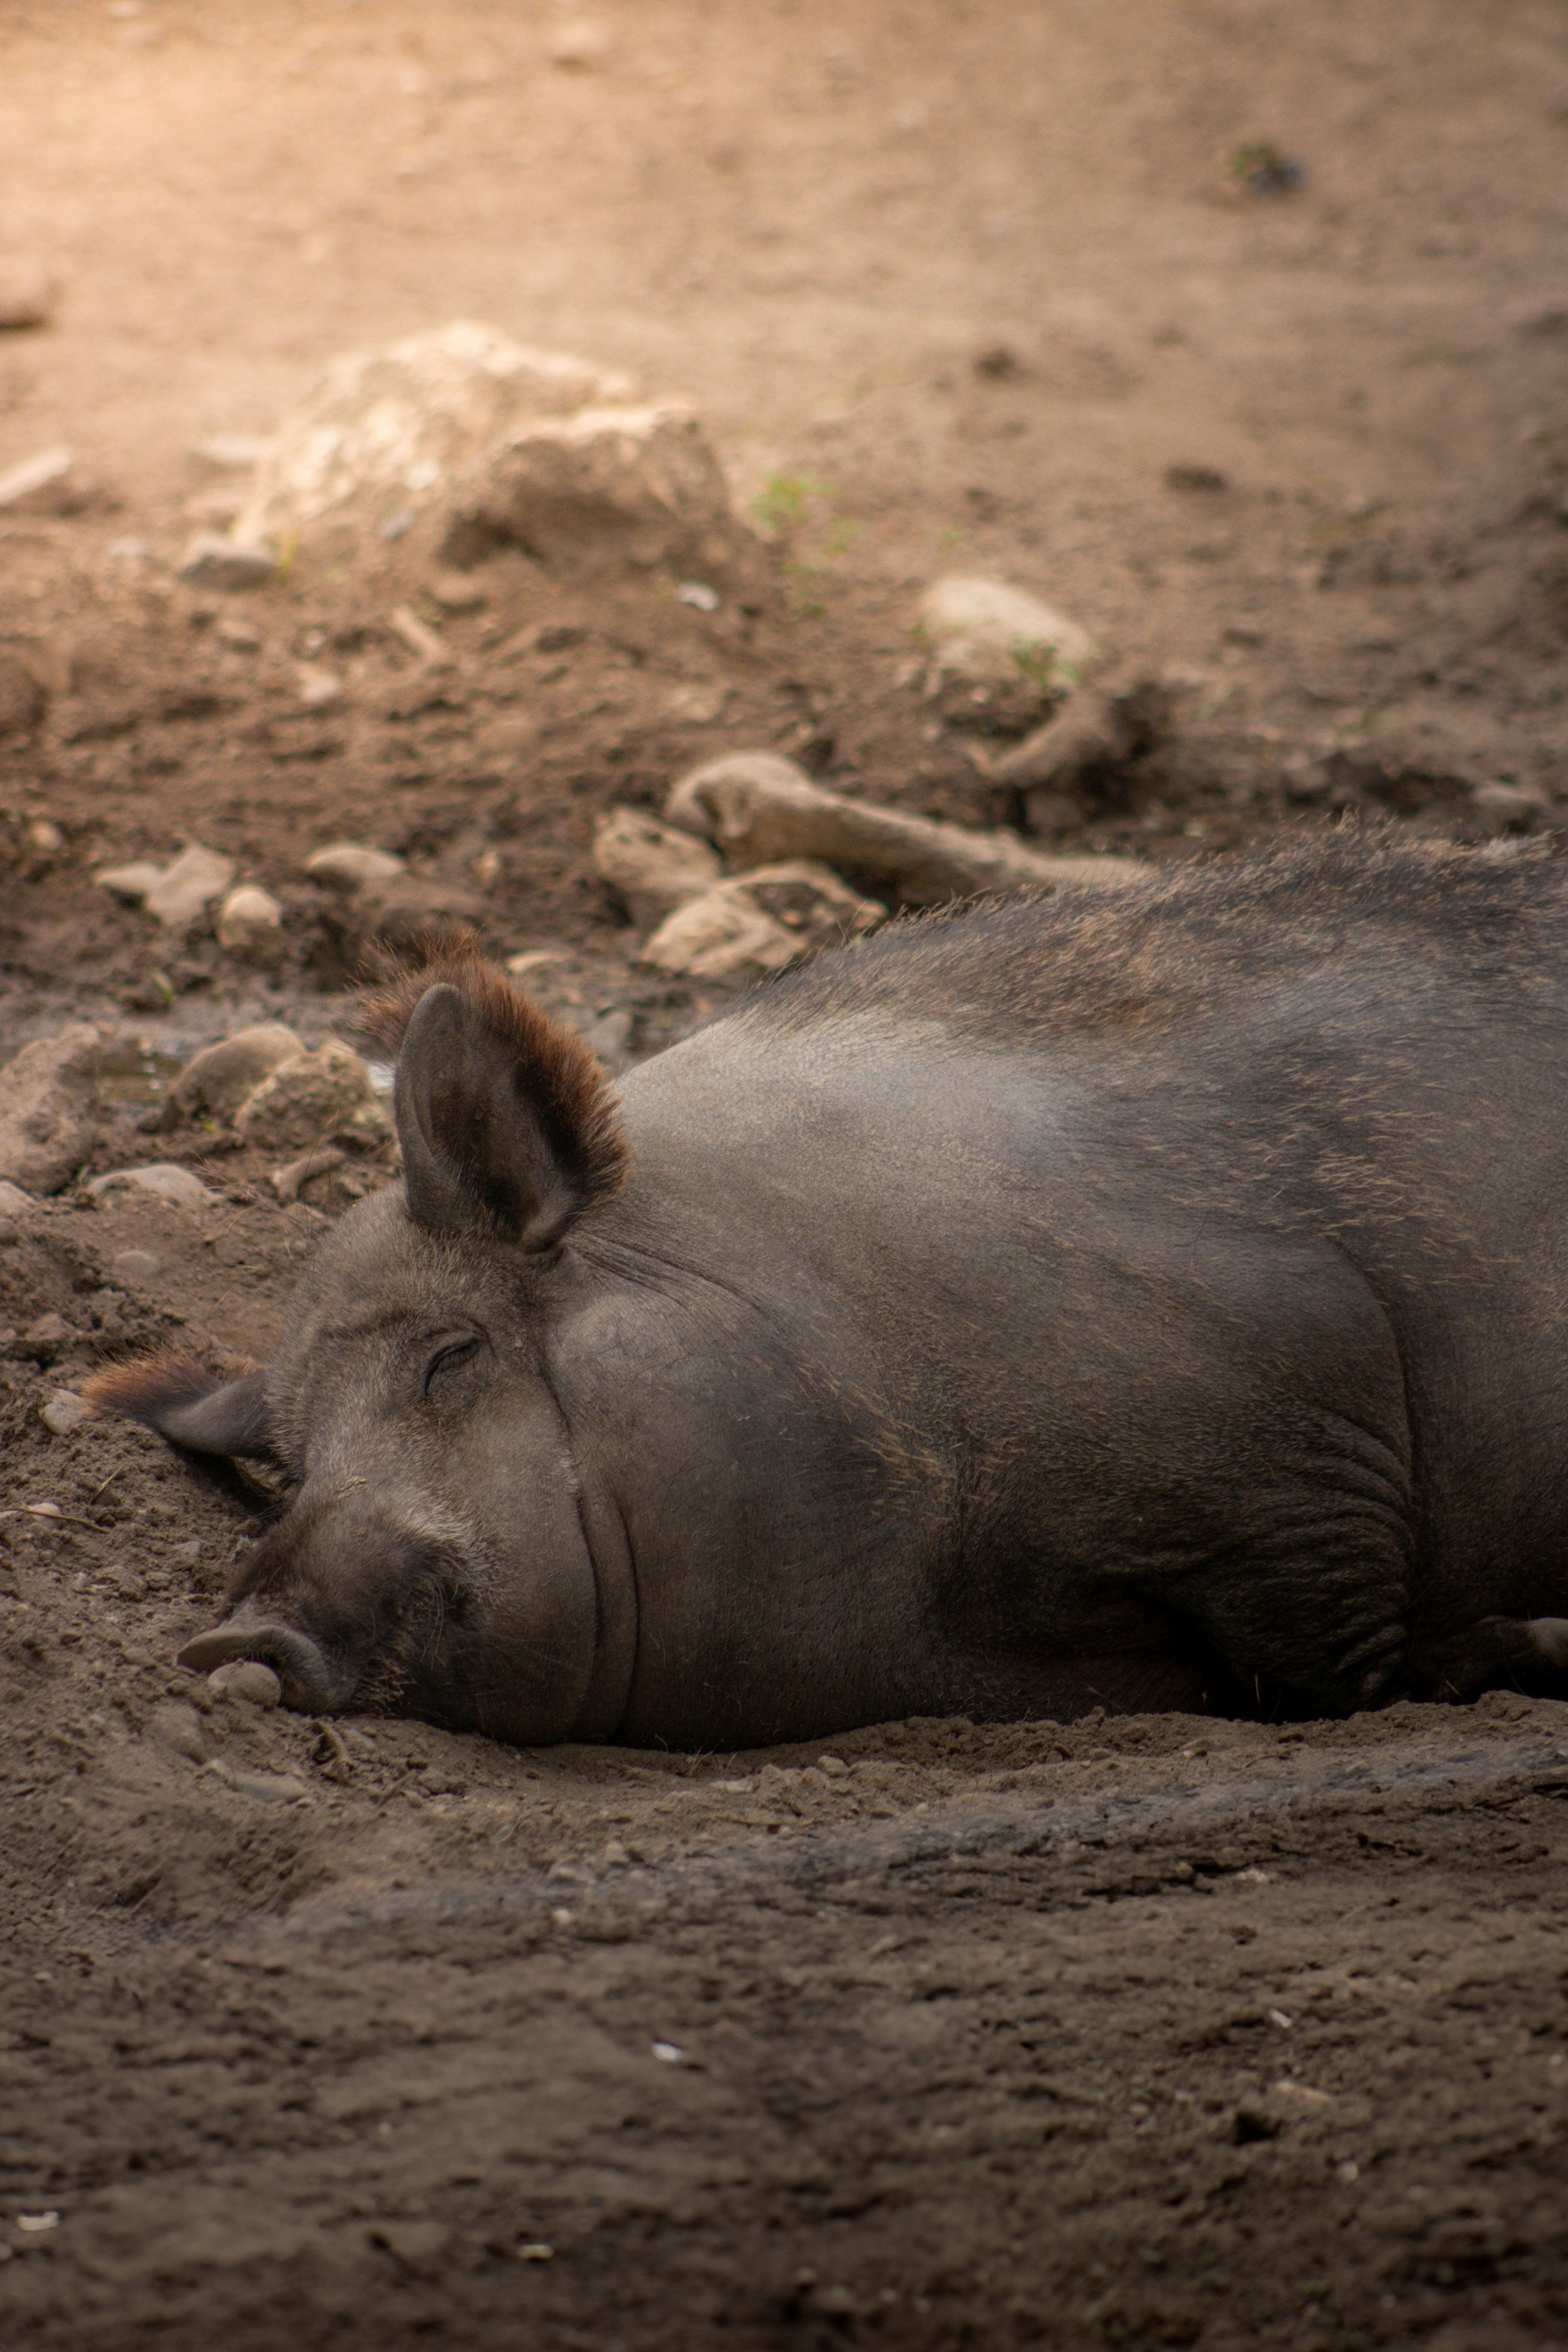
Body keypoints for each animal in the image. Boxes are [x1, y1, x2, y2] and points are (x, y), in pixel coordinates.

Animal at [89, 835, 1568, 1746]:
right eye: (289, 1462)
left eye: (451, 1357)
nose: (231, 1639)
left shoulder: (1295, 1439)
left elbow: (1320, 1654)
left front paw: (1510, 1653)